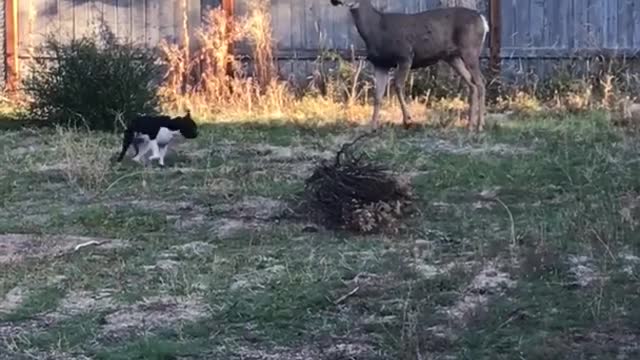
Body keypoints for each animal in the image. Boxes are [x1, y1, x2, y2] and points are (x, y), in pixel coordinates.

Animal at [332, 0, 488, 132]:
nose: (335, 1)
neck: (377, 29)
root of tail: (483, 20)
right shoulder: (380, 64)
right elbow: (378, 95)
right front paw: (372, 127)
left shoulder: (405, 55)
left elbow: (398, 86)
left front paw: (408, 120)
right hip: (453, 57)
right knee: (472, 84)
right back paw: (470, 125)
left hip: (470, 49)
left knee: (480, 82)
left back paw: (480, 125)